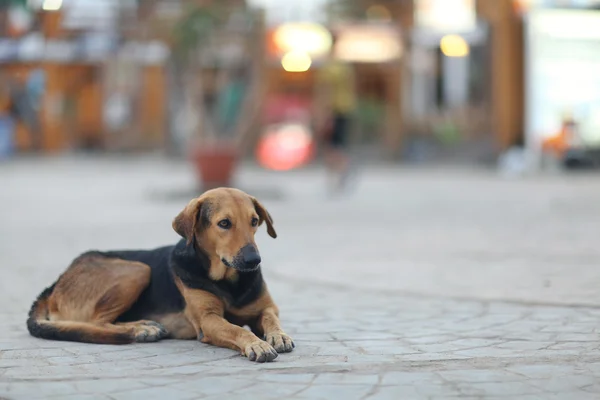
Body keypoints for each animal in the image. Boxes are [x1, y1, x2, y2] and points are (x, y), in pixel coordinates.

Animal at [28, 188, 296, 362]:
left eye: (254, 221)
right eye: (224, 223)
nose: (254, 260)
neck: (230, 282)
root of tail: (54, 285)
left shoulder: (266, 308)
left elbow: (271, 319)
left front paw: (278, 335)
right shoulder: (208, 321)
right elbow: (237, 330)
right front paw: (256, 343)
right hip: (137, 269)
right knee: (96, 323)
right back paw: (141, 329)